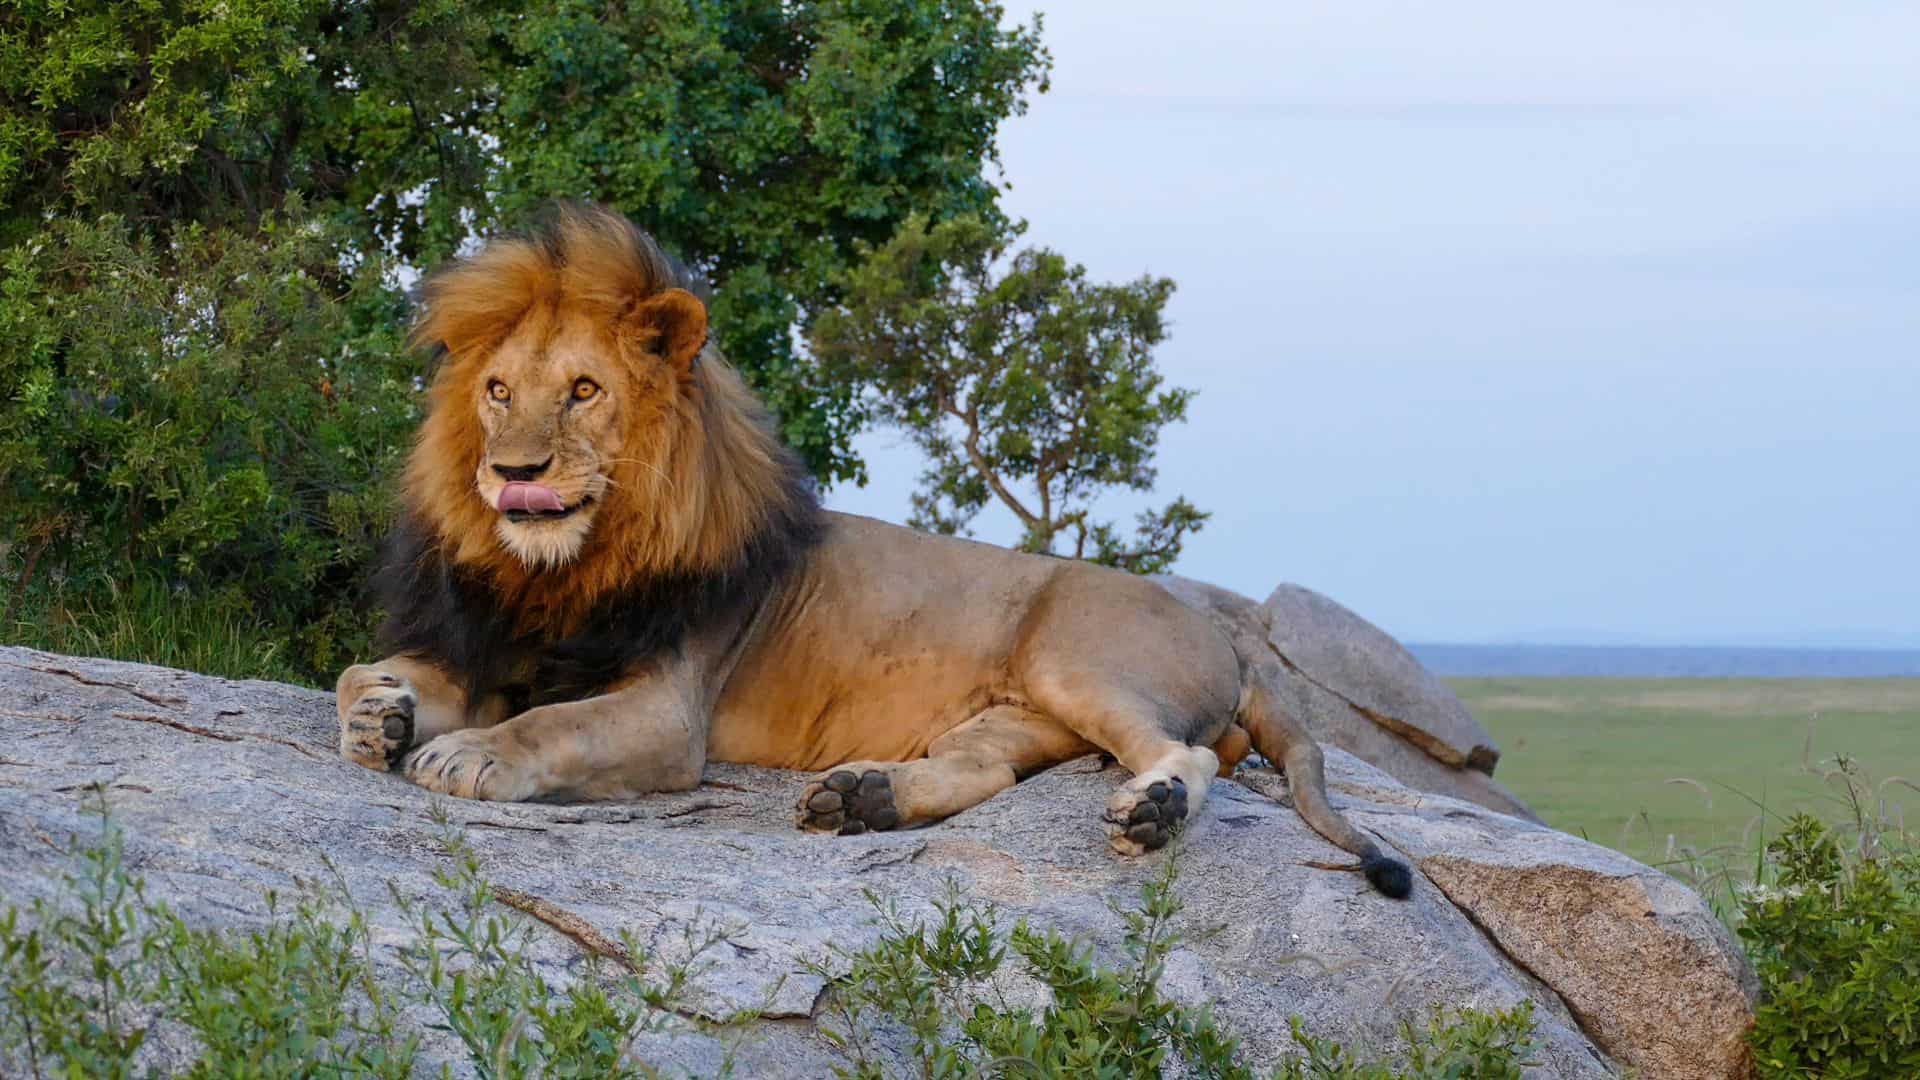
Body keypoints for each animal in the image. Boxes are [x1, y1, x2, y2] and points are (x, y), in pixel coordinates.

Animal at [336, 203, 1411, 898]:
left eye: (585, 391)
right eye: (498, 391)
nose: (511, 474)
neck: (562, 571)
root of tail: (1230, 640)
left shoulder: (668, 710)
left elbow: (545, 726)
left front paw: (467, 753)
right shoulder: (488, 644)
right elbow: (360, 673)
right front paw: (382, 718)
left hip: (1078, 660)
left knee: (1186, 755)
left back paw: (1150, 813)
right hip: (1014, 717)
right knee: (982, 771)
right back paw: (865, 799)